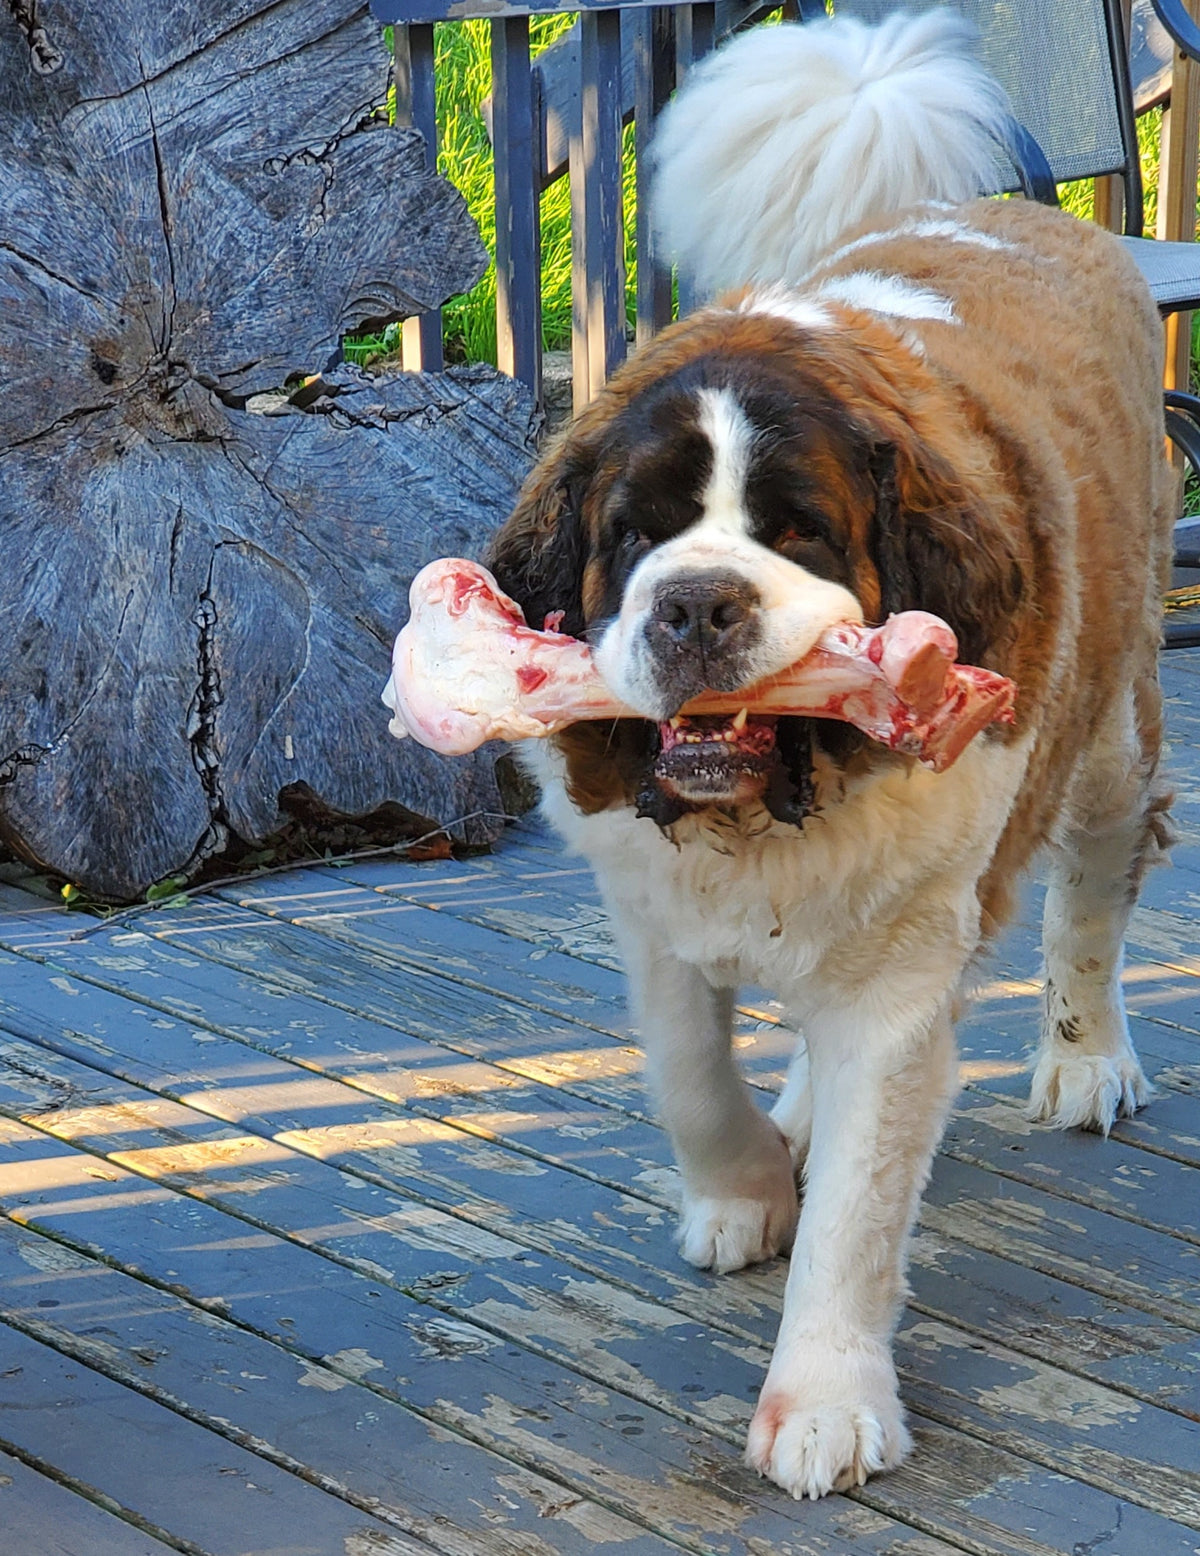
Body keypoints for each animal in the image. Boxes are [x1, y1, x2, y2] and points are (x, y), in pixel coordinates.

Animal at [485, 6, 1170, 1499]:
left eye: (799, 532)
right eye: (635, 534)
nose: (696, 604)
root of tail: (1027, 215)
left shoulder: (909, 957)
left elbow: (865, 1201)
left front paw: (828, 1403)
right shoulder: (652, 907)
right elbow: (690, 1080)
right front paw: (749, 1184)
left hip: (1111, 731)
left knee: (1094, 891)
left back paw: (1086, 1056)